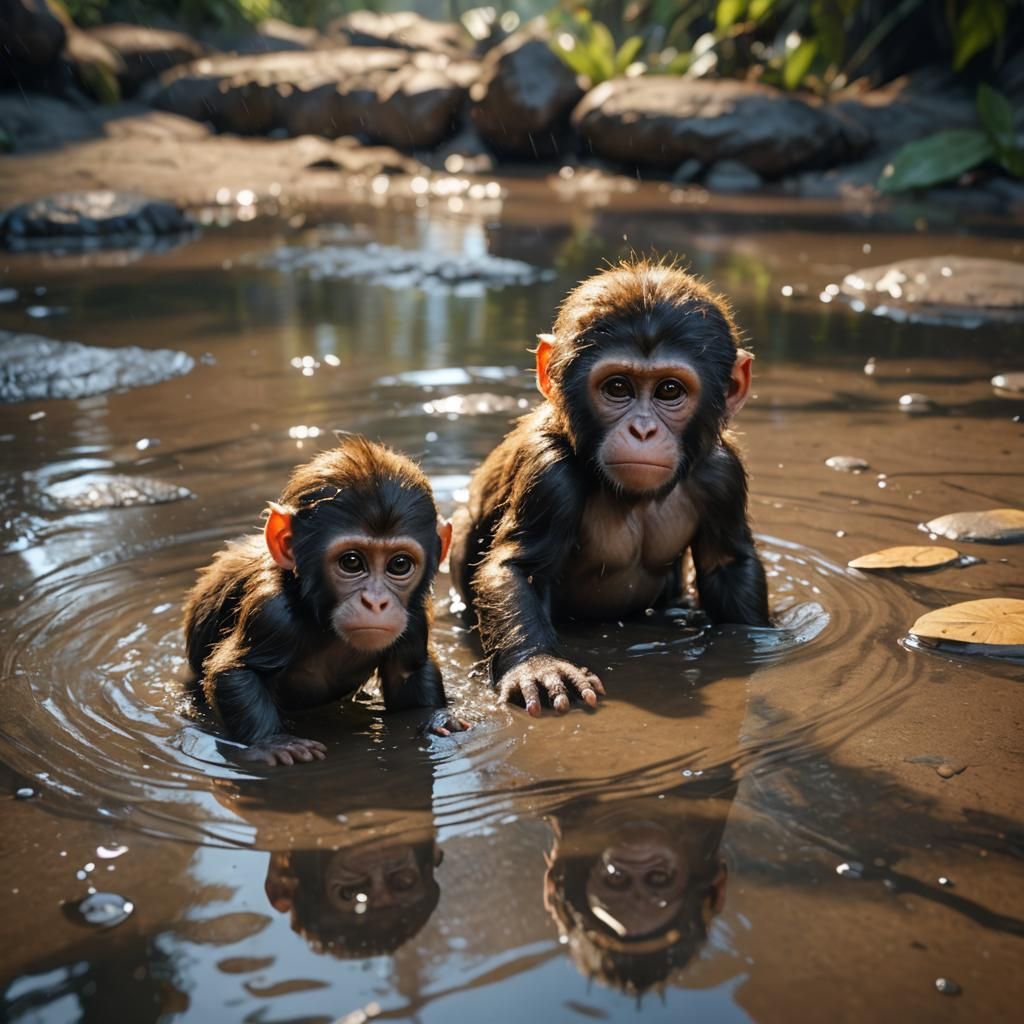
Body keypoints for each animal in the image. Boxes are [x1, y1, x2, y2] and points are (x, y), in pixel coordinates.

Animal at [184, 435, 466, 765]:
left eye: (399, 564)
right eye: (352, 562)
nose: (376, 602)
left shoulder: (415, 617)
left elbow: (409, 675)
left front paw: (437, 719)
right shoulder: (271, 612)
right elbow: (236, 672)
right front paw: (273, 742)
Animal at [450, 258, 770, 716]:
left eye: (669, 390)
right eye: (618, 387)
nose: (642, 429)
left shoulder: (723, 475)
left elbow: (727, 563)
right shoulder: (548, 472)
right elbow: (518, 568)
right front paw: (538, 666)